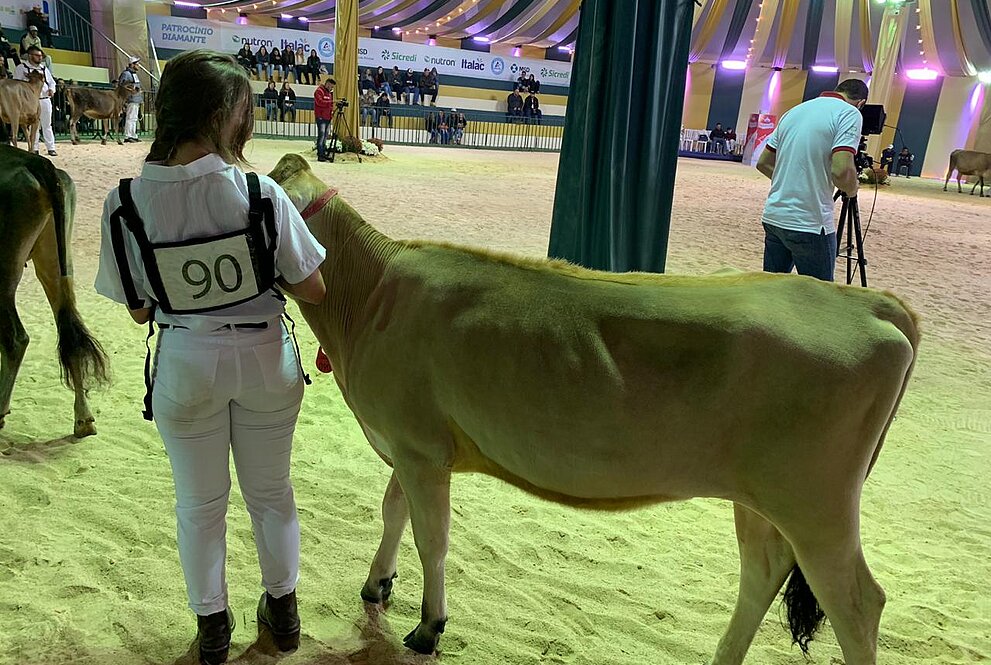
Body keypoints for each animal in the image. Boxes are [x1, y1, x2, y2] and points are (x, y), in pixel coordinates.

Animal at [269, 154, 920, 665]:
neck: (370, 294)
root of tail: (867, 302)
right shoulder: (411, 446)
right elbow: (393, 512)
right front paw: (377, 584)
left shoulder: (418, 446)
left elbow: (432, 537)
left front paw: (429, 627)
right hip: (763, 499)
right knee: (763, 572)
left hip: (818, 503)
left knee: (857, 604)